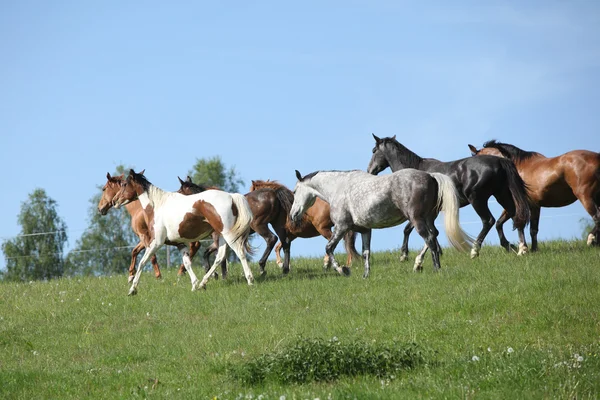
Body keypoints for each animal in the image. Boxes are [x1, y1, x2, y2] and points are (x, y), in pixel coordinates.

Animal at [113, 168, 254, 294]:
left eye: (124, 184)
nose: (115, 201)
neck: (157, 206)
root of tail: (231, 196)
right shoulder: (180, 244)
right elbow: (187, 263)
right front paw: (194, 285)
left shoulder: (156, 243)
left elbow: (142, 262)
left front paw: (132, 289)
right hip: (222, 236)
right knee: (220, 256)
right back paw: (203, 283)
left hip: (229, 235)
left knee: (240, 252)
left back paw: (250, 280)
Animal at [290, 168, 474, 276]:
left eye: (295, 191)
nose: (293, 215)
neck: (338, 188)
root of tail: (430, 176)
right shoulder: (365, 230)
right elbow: (366, 253)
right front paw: (366, 276)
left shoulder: (342, 227)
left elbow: (329, 248)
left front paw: (343, 269)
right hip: (428, 219)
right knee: (433, 236)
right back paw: (418, 265)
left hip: (417, 219)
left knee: (429, 239)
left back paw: (435, 268)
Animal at [366, 134, 528, 260]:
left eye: (374, 150)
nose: (370, 170)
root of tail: (500, 160)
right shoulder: (431, 212)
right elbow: (433, 231)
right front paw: (437, 251)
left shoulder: (416, 211)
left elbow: (409, 229)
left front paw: (404, 255)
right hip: (501, 195)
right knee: (513, 215)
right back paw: (518, 247)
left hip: (477, 199)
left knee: (488, 221)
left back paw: (475, 251)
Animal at [468, 139, 600, 248]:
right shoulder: (531, 206)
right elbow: (527, 228)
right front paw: (530, 249)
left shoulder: (522, 205)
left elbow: (521, 224)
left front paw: (524, 248)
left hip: (585, 196)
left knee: (597, 216)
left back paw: (591, 239)